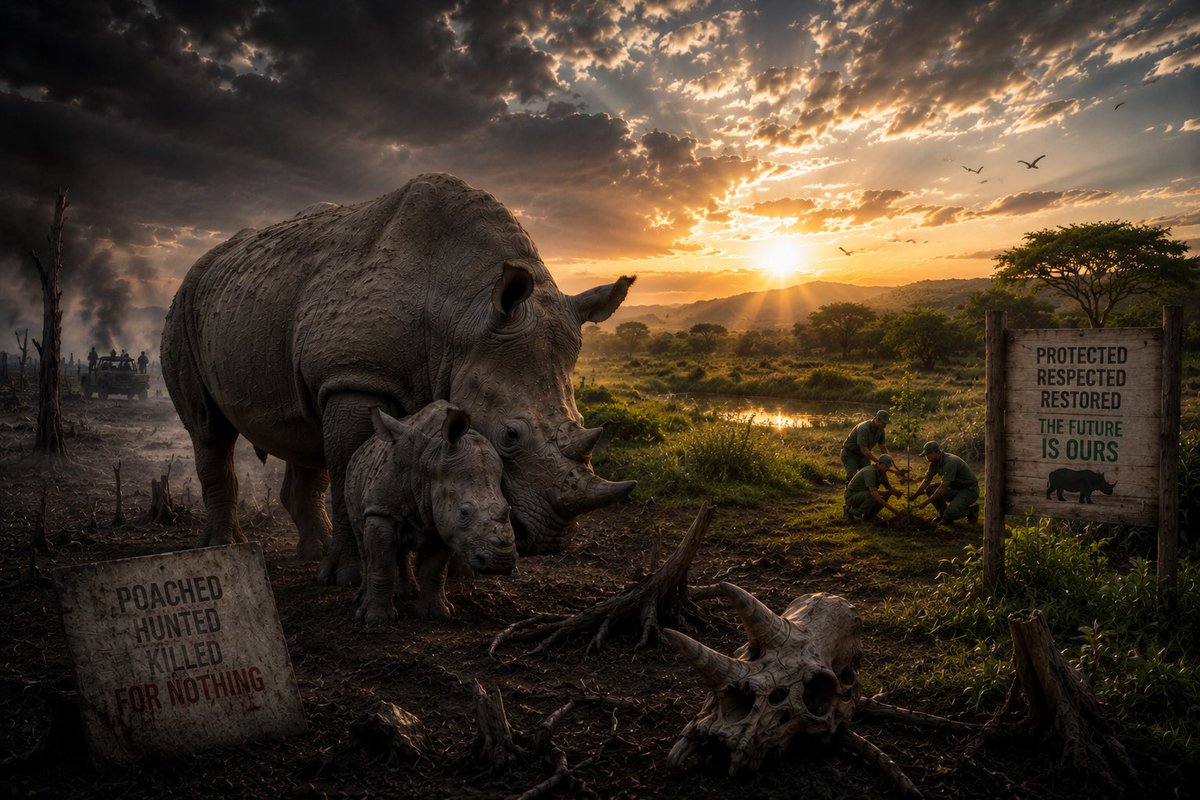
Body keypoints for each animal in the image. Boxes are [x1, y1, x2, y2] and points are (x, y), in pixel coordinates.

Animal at [161, 173, 636, 585]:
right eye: (510, 436)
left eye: (583, 424)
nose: (552, 539)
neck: (464, 312)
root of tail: (204, 264)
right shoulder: (356, 376)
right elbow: (349, 469)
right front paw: (349, 577)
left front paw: (457, 572)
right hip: (186, 304)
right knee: (209, 430)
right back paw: (225, 548)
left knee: (303, 431)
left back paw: (312, 552)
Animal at [346, 402, 514, 623]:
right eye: (464, 512)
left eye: (508, 507)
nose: (501, 562)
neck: (431, 459)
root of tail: (362, 447)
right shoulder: (382, 511)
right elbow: (382, 564)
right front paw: (375, 619)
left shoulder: (445, 525)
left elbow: (434, 570)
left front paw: (438, 613)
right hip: (354, 481)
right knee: (363, 545)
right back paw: (361, 599)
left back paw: (409, 594)